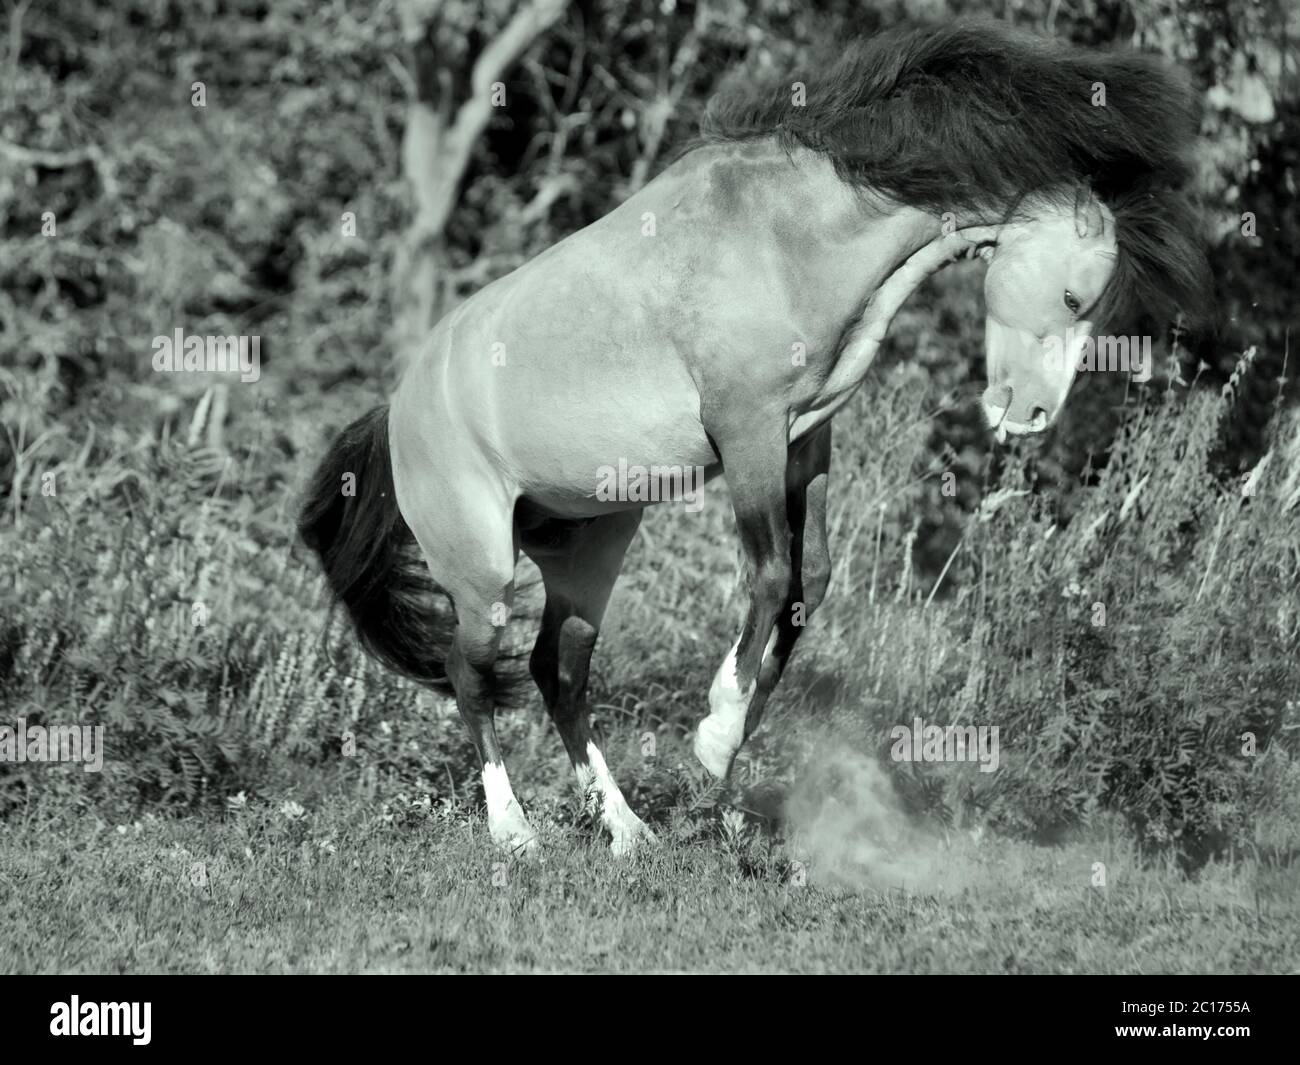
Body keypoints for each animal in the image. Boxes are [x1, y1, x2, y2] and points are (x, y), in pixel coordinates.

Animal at [299, 20, 1211, 853]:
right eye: (1073, 297)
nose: (1029, 417)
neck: (790, 232)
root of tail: (398, 408)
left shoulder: (806, 443)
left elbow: (812, 587)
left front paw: (731, 746)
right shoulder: (747, 435)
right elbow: (773, 577)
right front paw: (715, 734)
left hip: (591, 545)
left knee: (558, 668)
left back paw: (628, 829)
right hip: (481, 566)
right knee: (472, 673)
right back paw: (513, 831)